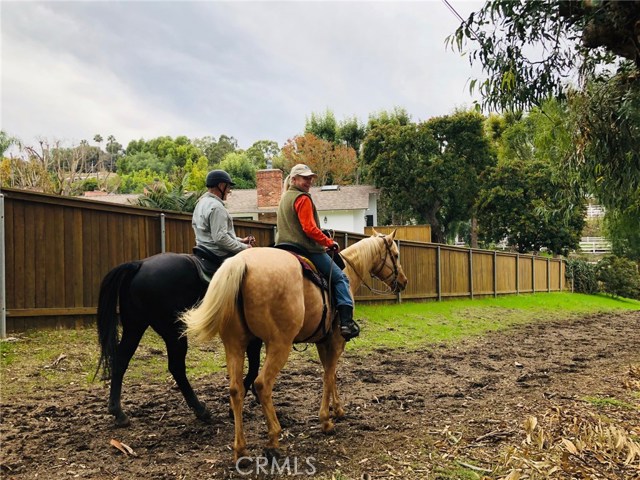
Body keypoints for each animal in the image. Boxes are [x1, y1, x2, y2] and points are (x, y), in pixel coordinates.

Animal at [94, 253, 262, 426]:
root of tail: (139, 265)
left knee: (121, 360)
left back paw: (118, 413)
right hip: (173, 333)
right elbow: (254, 366)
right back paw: (200, 410)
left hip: (135, 327)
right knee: (176, 367)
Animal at [182, 231, 408, 460]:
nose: (403, 281)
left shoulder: (323, 342)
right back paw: (273, 439)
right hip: (279, 345)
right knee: (262, 384)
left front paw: (337, 409)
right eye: (396, 255)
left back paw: (241, 449)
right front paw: (326, 420)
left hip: (235, 345)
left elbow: (331, 373)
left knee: (236, 389)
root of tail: (241, 263)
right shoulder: (336, 340)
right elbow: (329, 375)